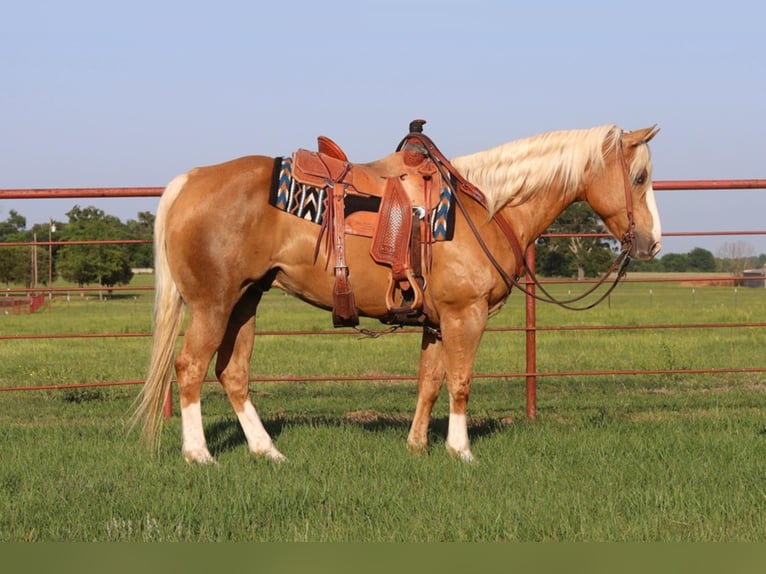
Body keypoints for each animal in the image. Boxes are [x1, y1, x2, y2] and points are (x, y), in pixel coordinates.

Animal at [132, 124, 660, 466]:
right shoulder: (465, 315)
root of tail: (190, 181)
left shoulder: (437, 321)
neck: (485, 207)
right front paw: (461, 451)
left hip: (245, 301)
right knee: (190, 368)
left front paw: (417, 446)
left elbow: (429, 382)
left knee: (233, 373)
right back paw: (199, 454)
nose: (652, 243)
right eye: (639, 177)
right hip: (213, 304)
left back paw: (268, 451)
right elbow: (460, 382)